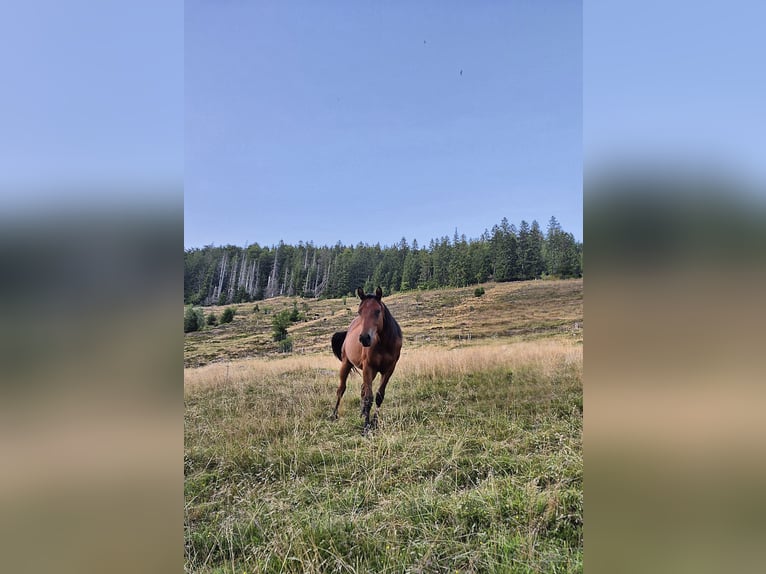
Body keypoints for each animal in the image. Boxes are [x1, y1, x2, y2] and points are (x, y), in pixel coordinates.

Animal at [331, 286, 402, 433]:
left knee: (362, 389)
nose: (364, 338)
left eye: (377, 311)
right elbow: (369, 398)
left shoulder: (389, 370)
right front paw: (366, 427)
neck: (384, 344)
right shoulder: (368, 367)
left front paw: (374, 422)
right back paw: (334, 415)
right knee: (341, 390)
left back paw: (362, 413)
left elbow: (379, 396)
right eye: (360, 312)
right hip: (346, 364)